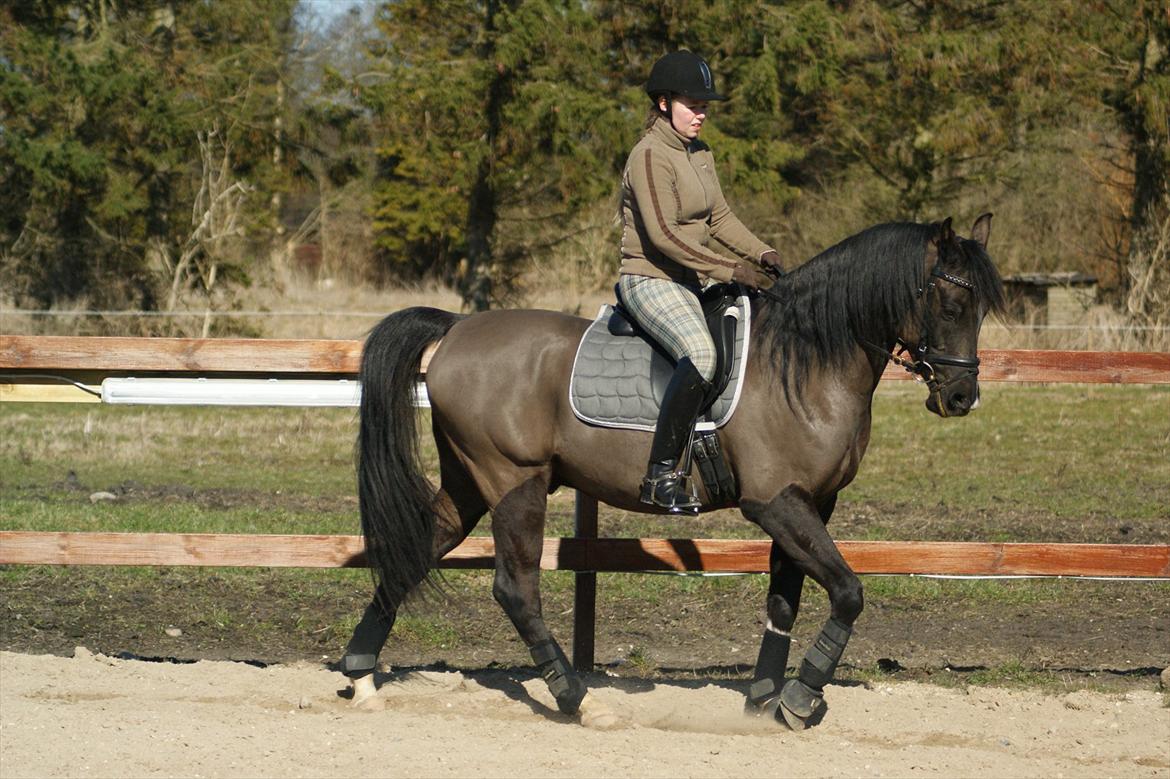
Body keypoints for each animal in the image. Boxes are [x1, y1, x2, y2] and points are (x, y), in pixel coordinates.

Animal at [339, 212, 1006, 729]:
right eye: (951, 303)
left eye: (979, 310)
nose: (961, 398)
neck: (805, 361)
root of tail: (457, 329)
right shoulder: (775, 502)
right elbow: (847, 591)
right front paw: (800, 698)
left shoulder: (810, 503)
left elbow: (783, 601)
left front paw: (762, 703)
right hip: (515, 484)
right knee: (515, 590)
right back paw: (579, 701)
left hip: (471, 483)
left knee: (417, 547)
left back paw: (362, 677)